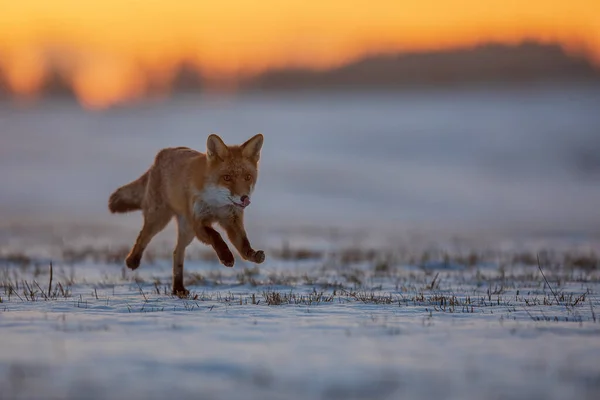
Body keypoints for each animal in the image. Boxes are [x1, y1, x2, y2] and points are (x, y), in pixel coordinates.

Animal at [107, 133, 264, 296]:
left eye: (248, 177)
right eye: (227, 178)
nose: (244, 198)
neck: (216, 204)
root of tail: (160, 155)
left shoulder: (232, 220)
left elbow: (244, 244)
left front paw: (252, 255)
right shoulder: (199, 222)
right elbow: (216, 235)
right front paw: (226, 256)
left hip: (186, 230)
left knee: (177, 252)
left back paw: (178, 288)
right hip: (160, 220)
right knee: (143, 237)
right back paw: (132, 260)